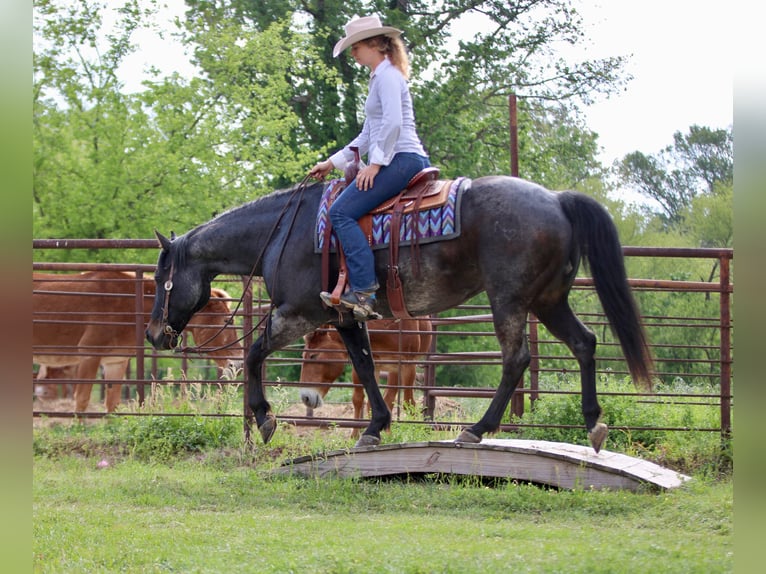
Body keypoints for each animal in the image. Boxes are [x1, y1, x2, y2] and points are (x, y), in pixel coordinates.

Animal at [33, 270, 243, 412]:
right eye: (227, 320)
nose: (239, 362)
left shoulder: (116, 361)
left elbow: (113, 403)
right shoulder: (89, 355)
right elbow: (82, 399)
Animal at [299, 318, 433, 430]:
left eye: (313, 356)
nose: (305, 397)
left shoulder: (408, 365)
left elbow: (408, 403)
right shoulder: (365, 365)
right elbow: (360, 400)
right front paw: (355, 436)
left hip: (396, 369)